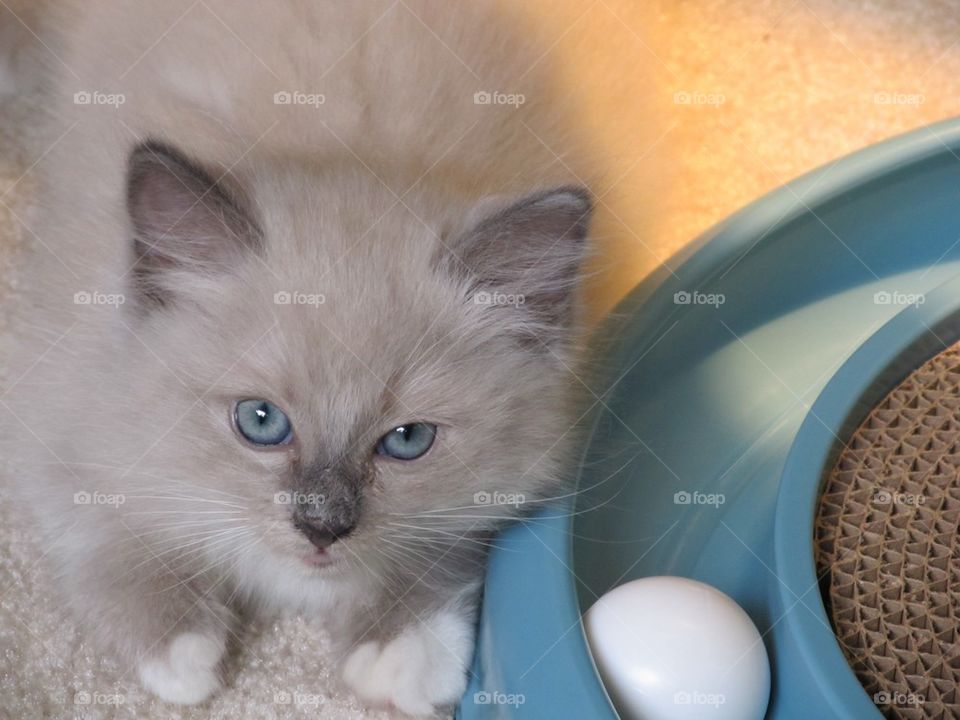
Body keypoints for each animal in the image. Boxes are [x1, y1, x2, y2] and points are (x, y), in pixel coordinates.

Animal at [1, 0, 592, 716]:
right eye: (261, 422)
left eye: (407, 441)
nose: (322, 528)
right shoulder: (56, 412)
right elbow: (108, 531)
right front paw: (180, 653)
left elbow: (445, 541)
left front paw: (403, 652)